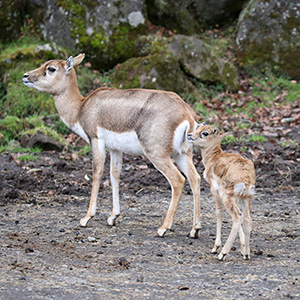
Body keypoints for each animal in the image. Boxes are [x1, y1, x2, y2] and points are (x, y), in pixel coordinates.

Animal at [22, 53, 202, 237]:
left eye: (51, 68)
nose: (25, 76)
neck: (81, 107)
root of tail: (186, 114)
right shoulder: (115, 149)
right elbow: (115, 174)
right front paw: (113, 217)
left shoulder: (95, 140)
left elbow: (97, 172)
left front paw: (86, 218)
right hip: (182, 154)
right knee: (195, 178)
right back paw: (194, 229)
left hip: (157, 154)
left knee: (178, 180)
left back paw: (163, 228)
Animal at [188, 124, 255, 260]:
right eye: (198, 128)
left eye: (205, 133)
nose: (189, 135)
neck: (214, 158)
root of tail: (245, 177)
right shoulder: (237, 198)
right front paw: (242, 248)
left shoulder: (214, 190)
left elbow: (219, 212)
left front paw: (215, 247)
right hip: (246, 198)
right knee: (246, 218)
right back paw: (247, 254)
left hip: (226, 196)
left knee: (237, 216)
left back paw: (222, 253)